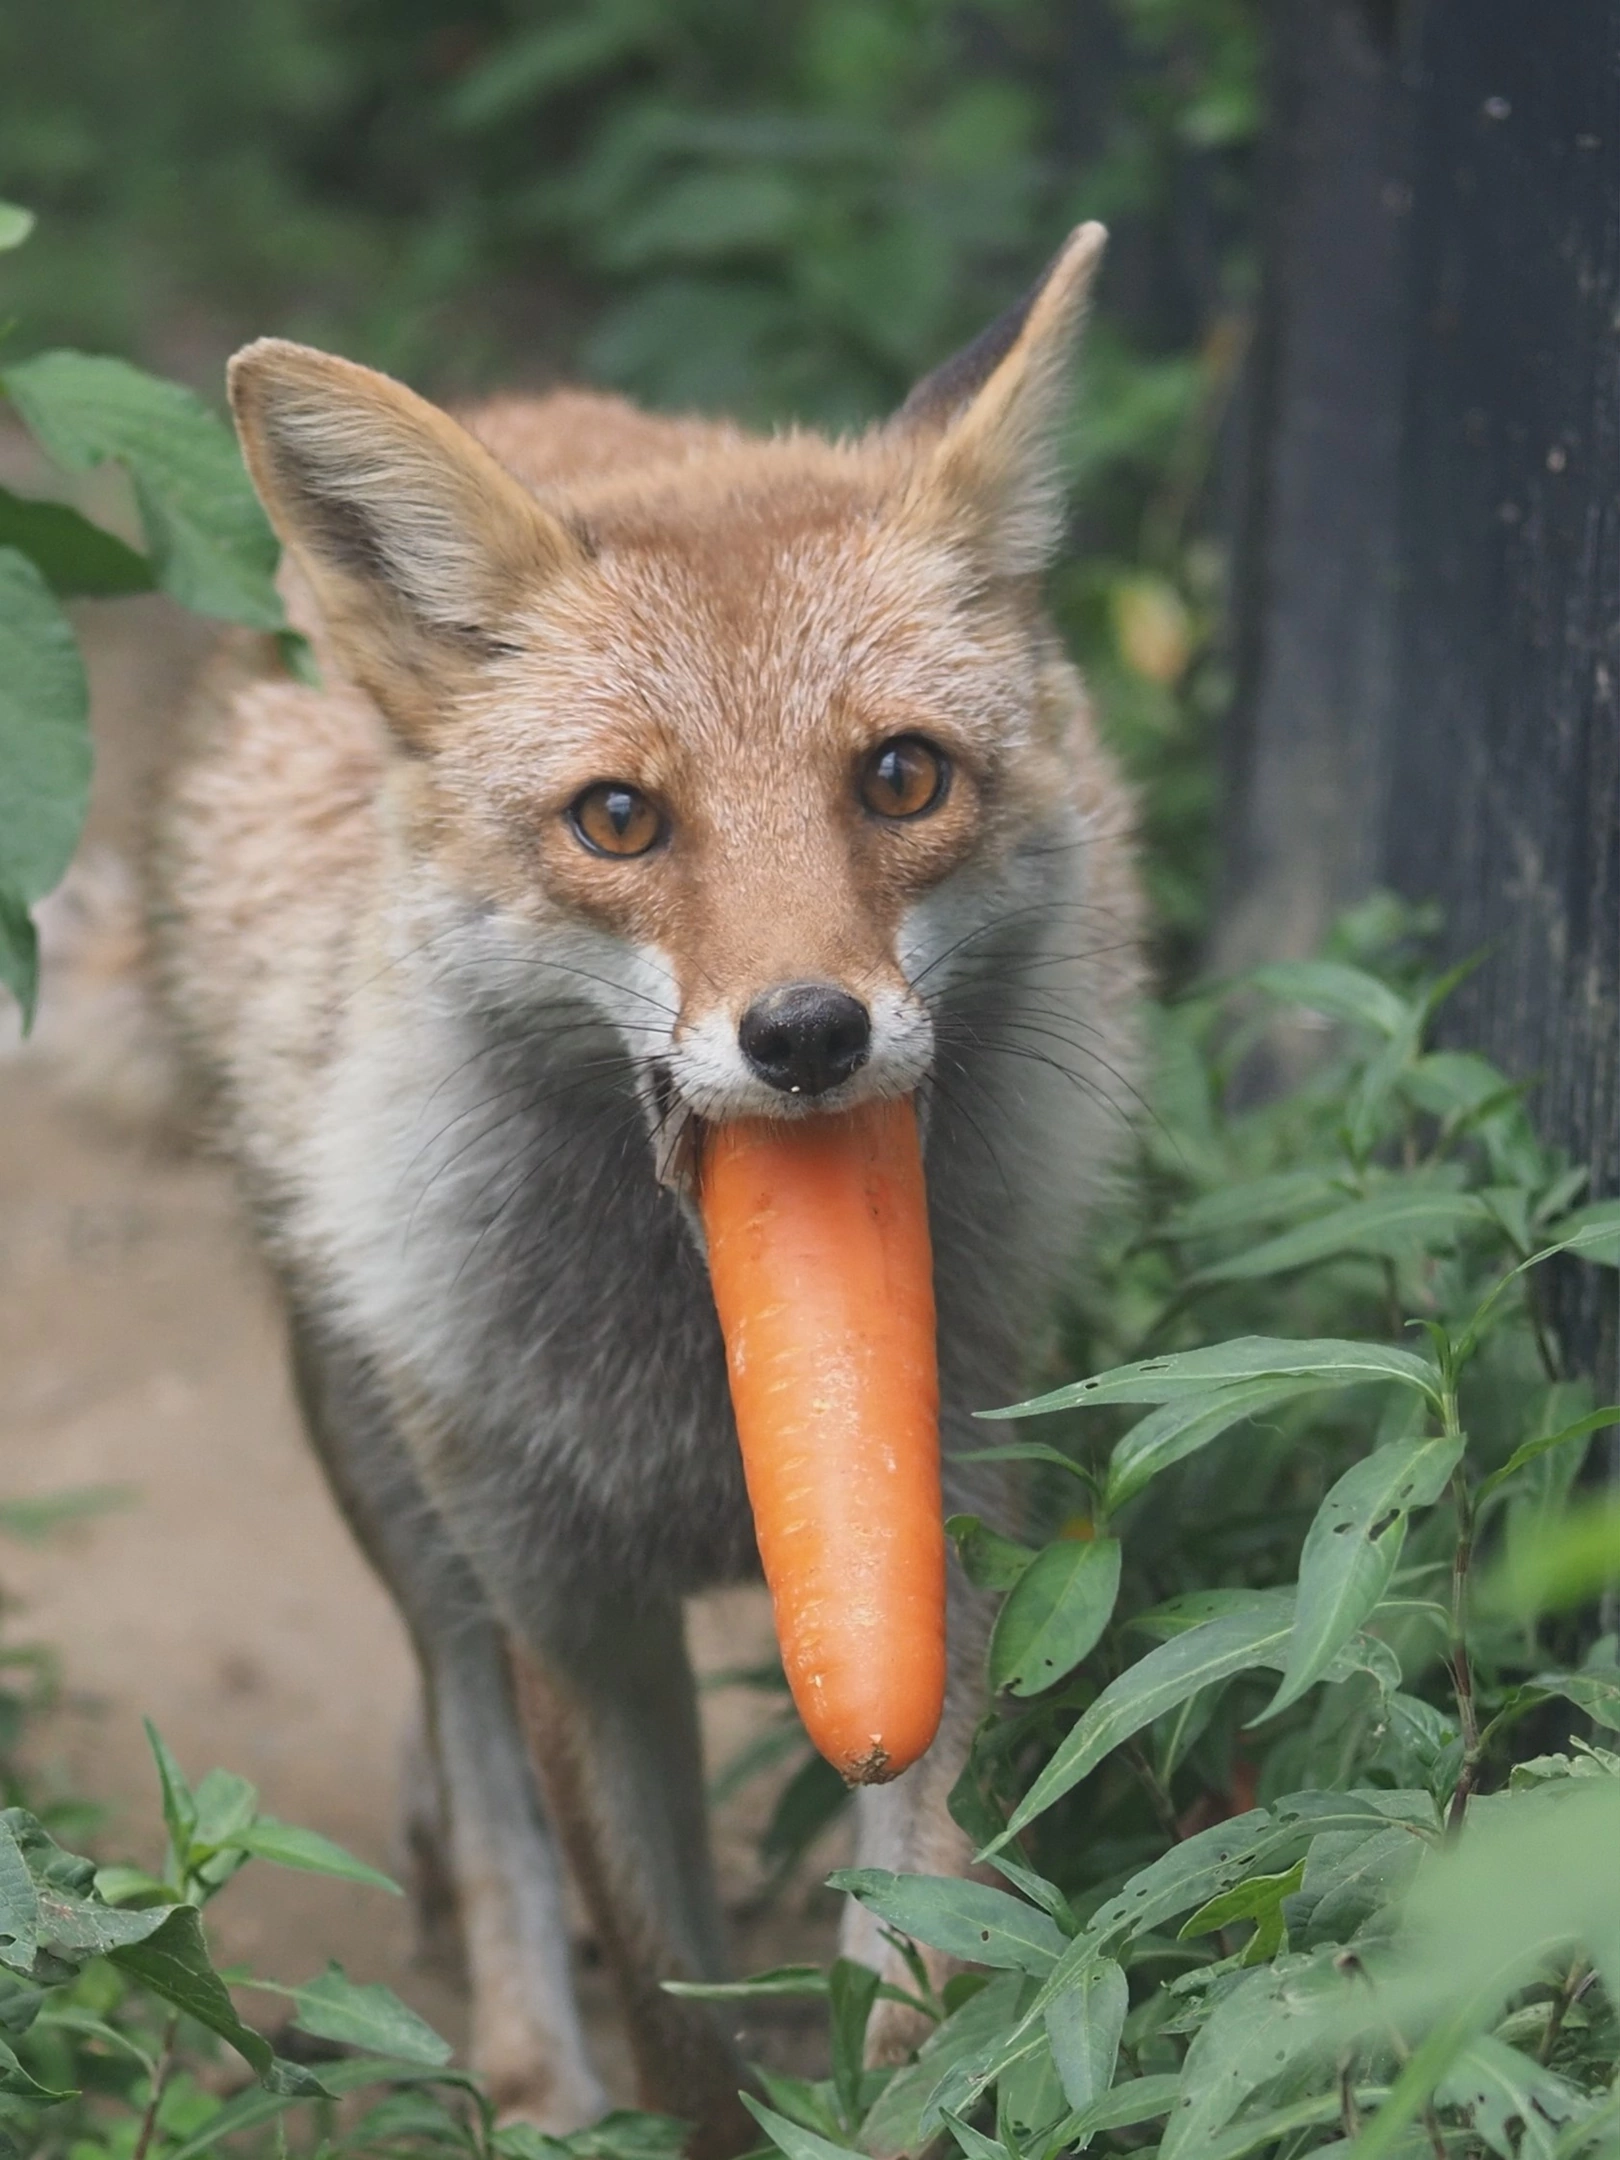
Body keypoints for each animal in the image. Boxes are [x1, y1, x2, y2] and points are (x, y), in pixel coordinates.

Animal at [145, 223, 1149, 2160]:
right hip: (390, 1454)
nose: (809, 1033)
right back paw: (529, 2066)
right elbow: (683, 2019)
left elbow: (921, 1968)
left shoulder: (938, 1543)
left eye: (901, 775)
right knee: (467, 1745)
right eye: (619, 819)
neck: (701, 1395)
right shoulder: (571, 1611)